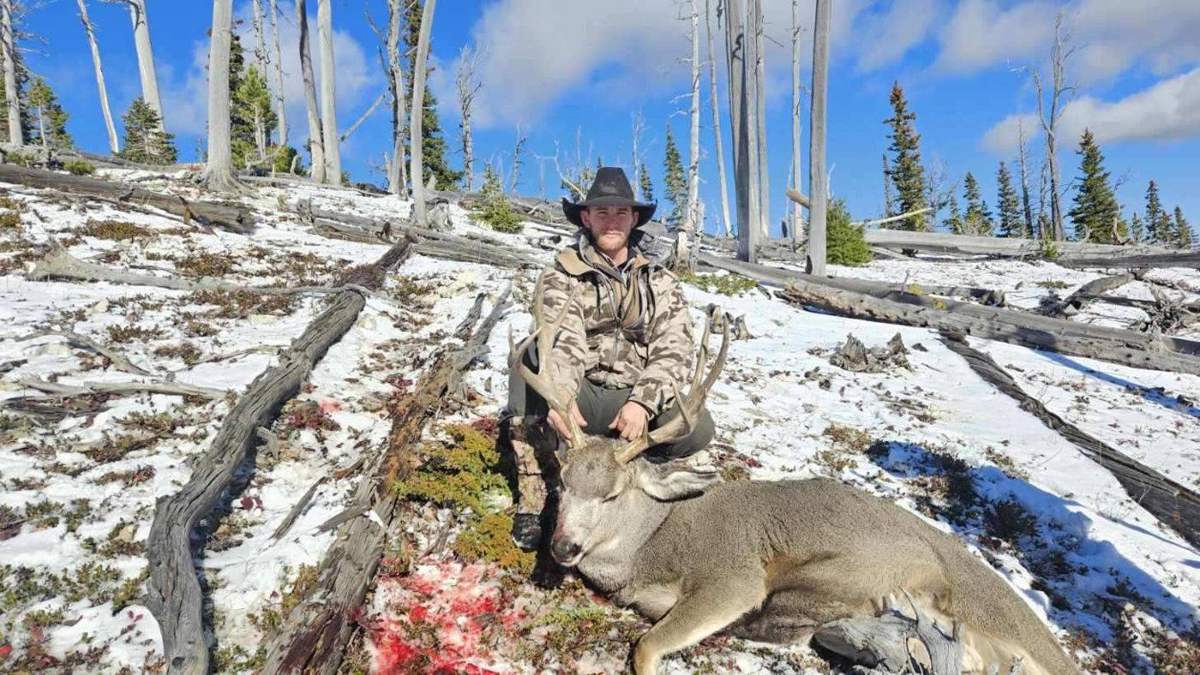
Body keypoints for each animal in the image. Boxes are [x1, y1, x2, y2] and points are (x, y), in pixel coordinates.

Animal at [510, 279, 1080, 675]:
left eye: (612, 495)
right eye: (562, 484)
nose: (563, 547)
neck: (652, 542)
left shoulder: (732, 575)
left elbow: (647, 645)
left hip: (865, 571)